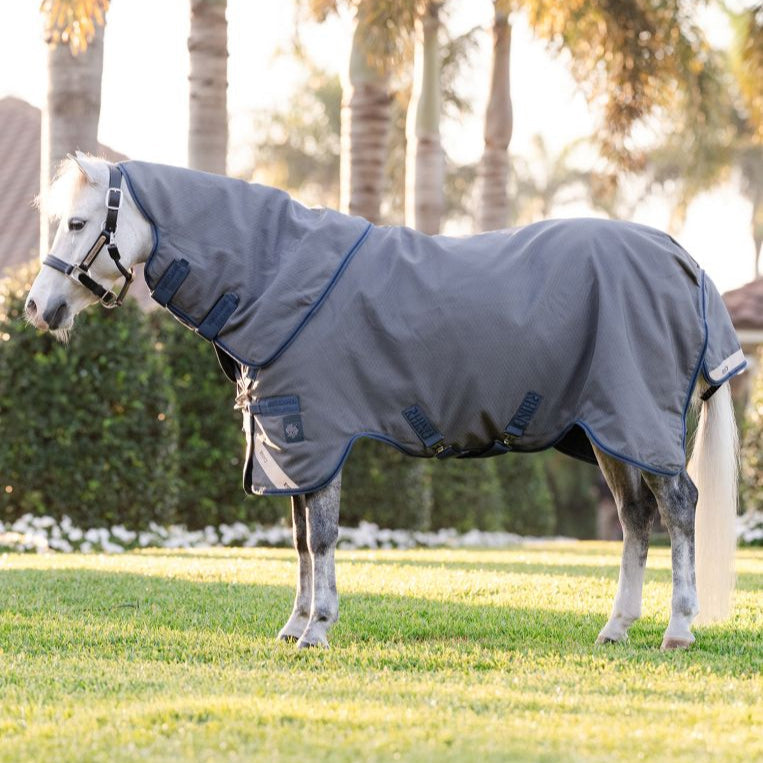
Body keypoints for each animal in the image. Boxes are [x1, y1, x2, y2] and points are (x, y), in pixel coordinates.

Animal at [25, 152, 746, 651]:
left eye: (79, 223)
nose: (36, 306)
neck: (275, 276)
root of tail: (685, 261)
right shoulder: (289, 444)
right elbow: (298, 540)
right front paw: (293, 625)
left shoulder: (315, 434)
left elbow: (319, 537)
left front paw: (317, 628)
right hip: (608, 431)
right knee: (635, 518)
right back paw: (616, 627)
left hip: (638, 420)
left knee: (678, 506)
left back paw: (678, 628)